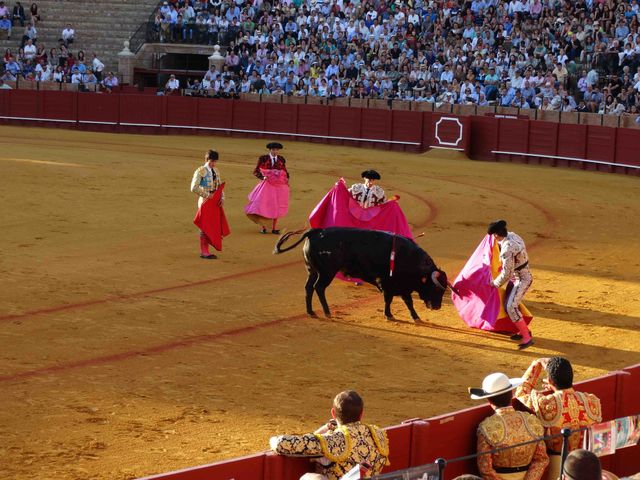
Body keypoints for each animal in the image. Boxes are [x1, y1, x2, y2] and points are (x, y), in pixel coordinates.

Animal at [274, 227, 450, 320]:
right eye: (436, 288)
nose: (437, 307)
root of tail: (314, 231)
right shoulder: (386, 283)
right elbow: (389, 300)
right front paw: (389, 315)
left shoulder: (403, 286)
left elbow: (408, 302)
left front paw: (416, 317)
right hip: (326, 272)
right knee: (319, 288)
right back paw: (327, 311)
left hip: (312, 270)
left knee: (309, 287)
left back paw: (310, 311)